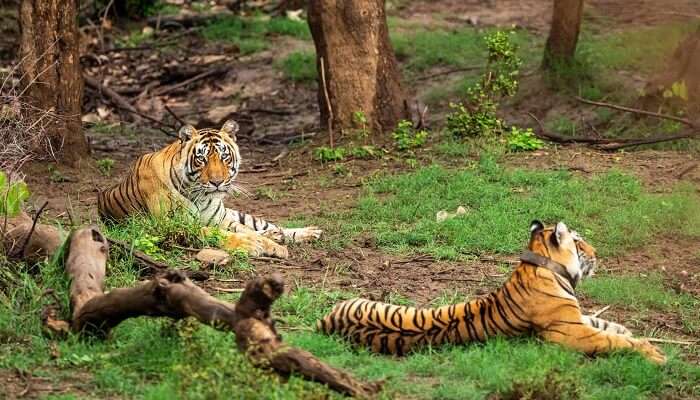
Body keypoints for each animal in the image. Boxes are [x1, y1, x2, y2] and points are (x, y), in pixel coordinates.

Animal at [98, 119, 322, 258]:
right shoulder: (174, 226)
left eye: (224, 157)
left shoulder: (221, 219)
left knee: (264, 225)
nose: (217, 182)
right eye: (202, 159)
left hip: (235, 214)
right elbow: (222, 234)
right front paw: (252, 245)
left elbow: (246, 230)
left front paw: (275, 247)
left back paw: (306, 232)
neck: (201, 196)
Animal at [318, 220, 668, 364]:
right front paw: (654, 353)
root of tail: (325, 322)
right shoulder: (569, 333)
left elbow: (605, 324)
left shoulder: (575, 319)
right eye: (580, 242)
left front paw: (629, 330)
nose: (597, 252)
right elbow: (611, 339)